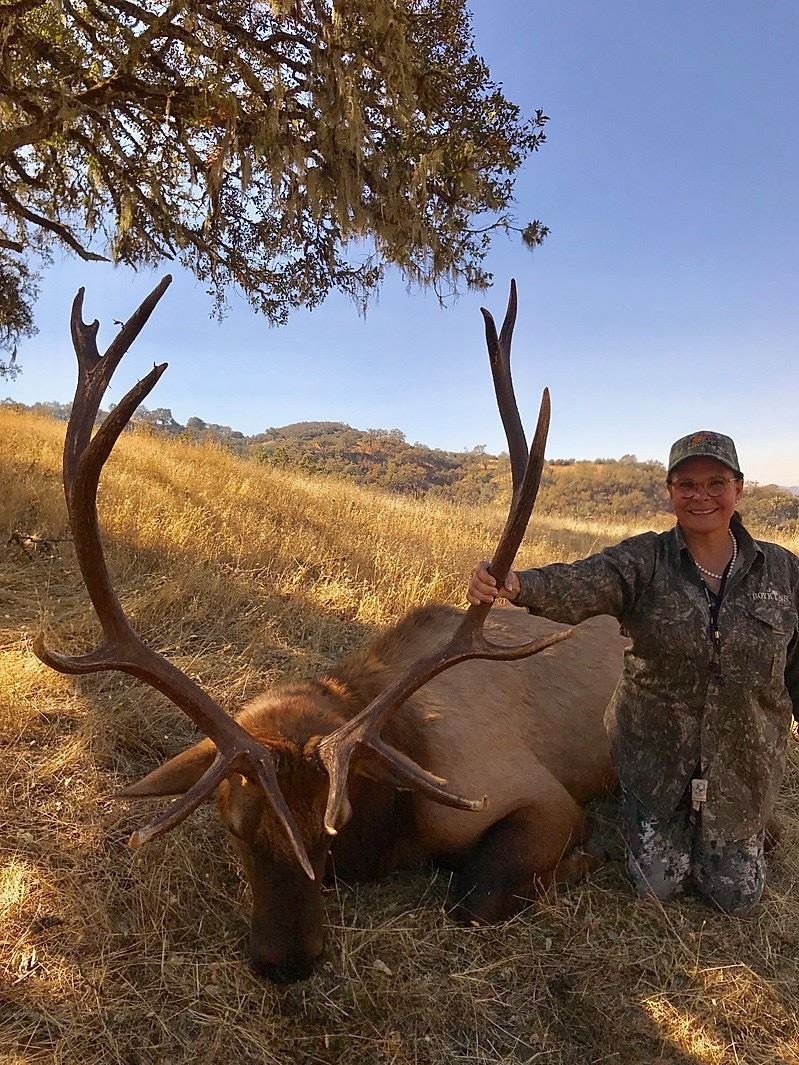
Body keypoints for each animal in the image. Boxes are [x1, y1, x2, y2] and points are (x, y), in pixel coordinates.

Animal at [34, 277, 627, 983]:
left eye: (328, 828)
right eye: (232, 825)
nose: (285, 962)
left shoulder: (536, 792)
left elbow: (475, 897)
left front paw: (590, 854)